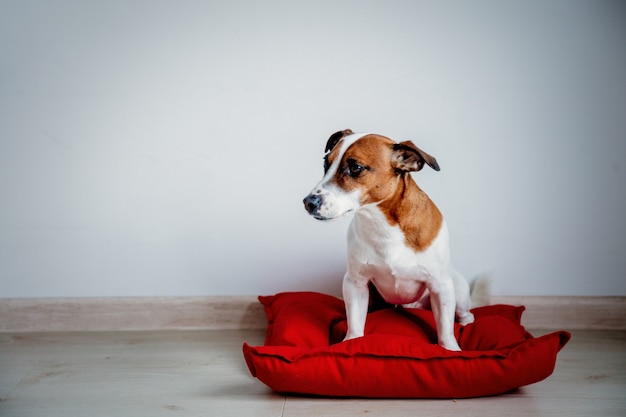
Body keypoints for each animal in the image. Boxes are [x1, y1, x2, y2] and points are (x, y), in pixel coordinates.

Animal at [302, 128, 488, 350]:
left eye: (355, 167)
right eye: (325, 164)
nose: (308, 202)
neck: (382, 224)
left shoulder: (440, 286)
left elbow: (445, 328)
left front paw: (450, 349)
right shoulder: (355, 283)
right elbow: (355, 322)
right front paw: (352, 341)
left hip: (457, 290)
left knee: (465, 314)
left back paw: (466, 323)